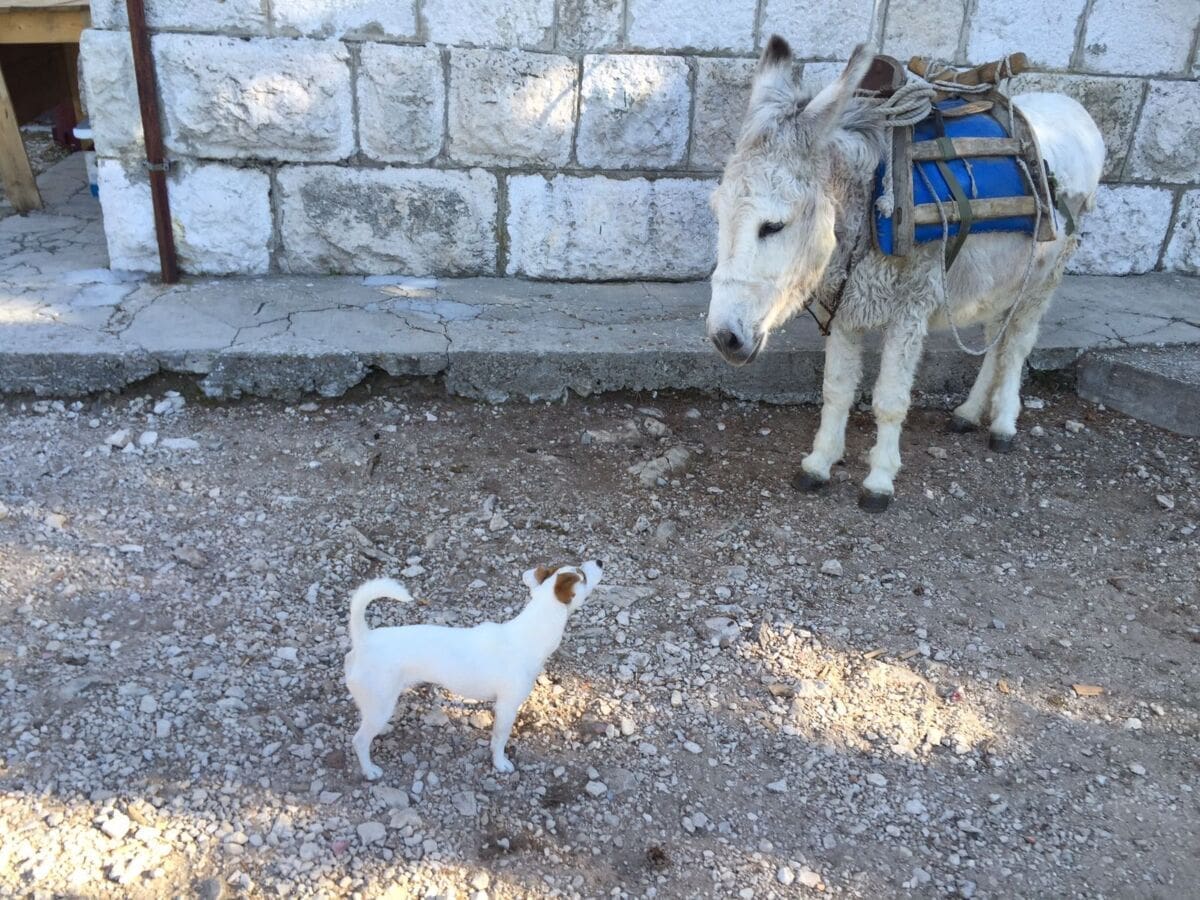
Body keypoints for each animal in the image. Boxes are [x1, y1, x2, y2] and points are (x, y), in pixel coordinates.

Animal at [345, 559, 603, 779]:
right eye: (582, 573)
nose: (600, 562)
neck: (529, 633)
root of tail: (364, 640)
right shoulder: (507, 708)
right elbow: (499, 740)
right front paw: (500, 764)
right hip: (379, 701)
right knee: (359, 740)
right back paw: (369, 770)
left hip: (380, 702)